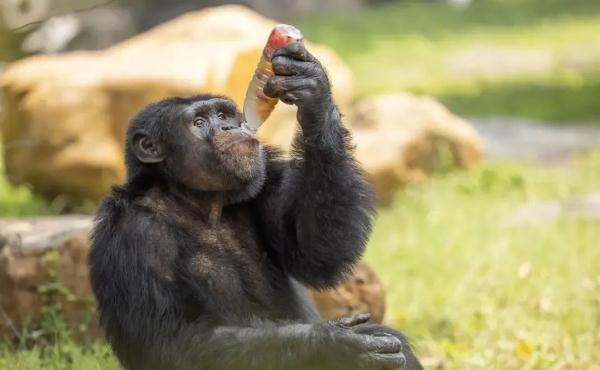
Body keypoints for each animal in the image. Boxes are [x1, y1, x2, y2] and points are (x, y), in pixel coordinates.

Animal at [89, 41, 422, 370]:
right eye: (199, 122)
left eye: (223, 115)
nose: (228, 127)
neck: (200, 200)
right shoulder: (133, 235)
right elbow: (171, 339)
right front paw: (334, 346)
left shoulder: (266, 177)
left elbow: (315, 252)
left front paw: (311, 90)